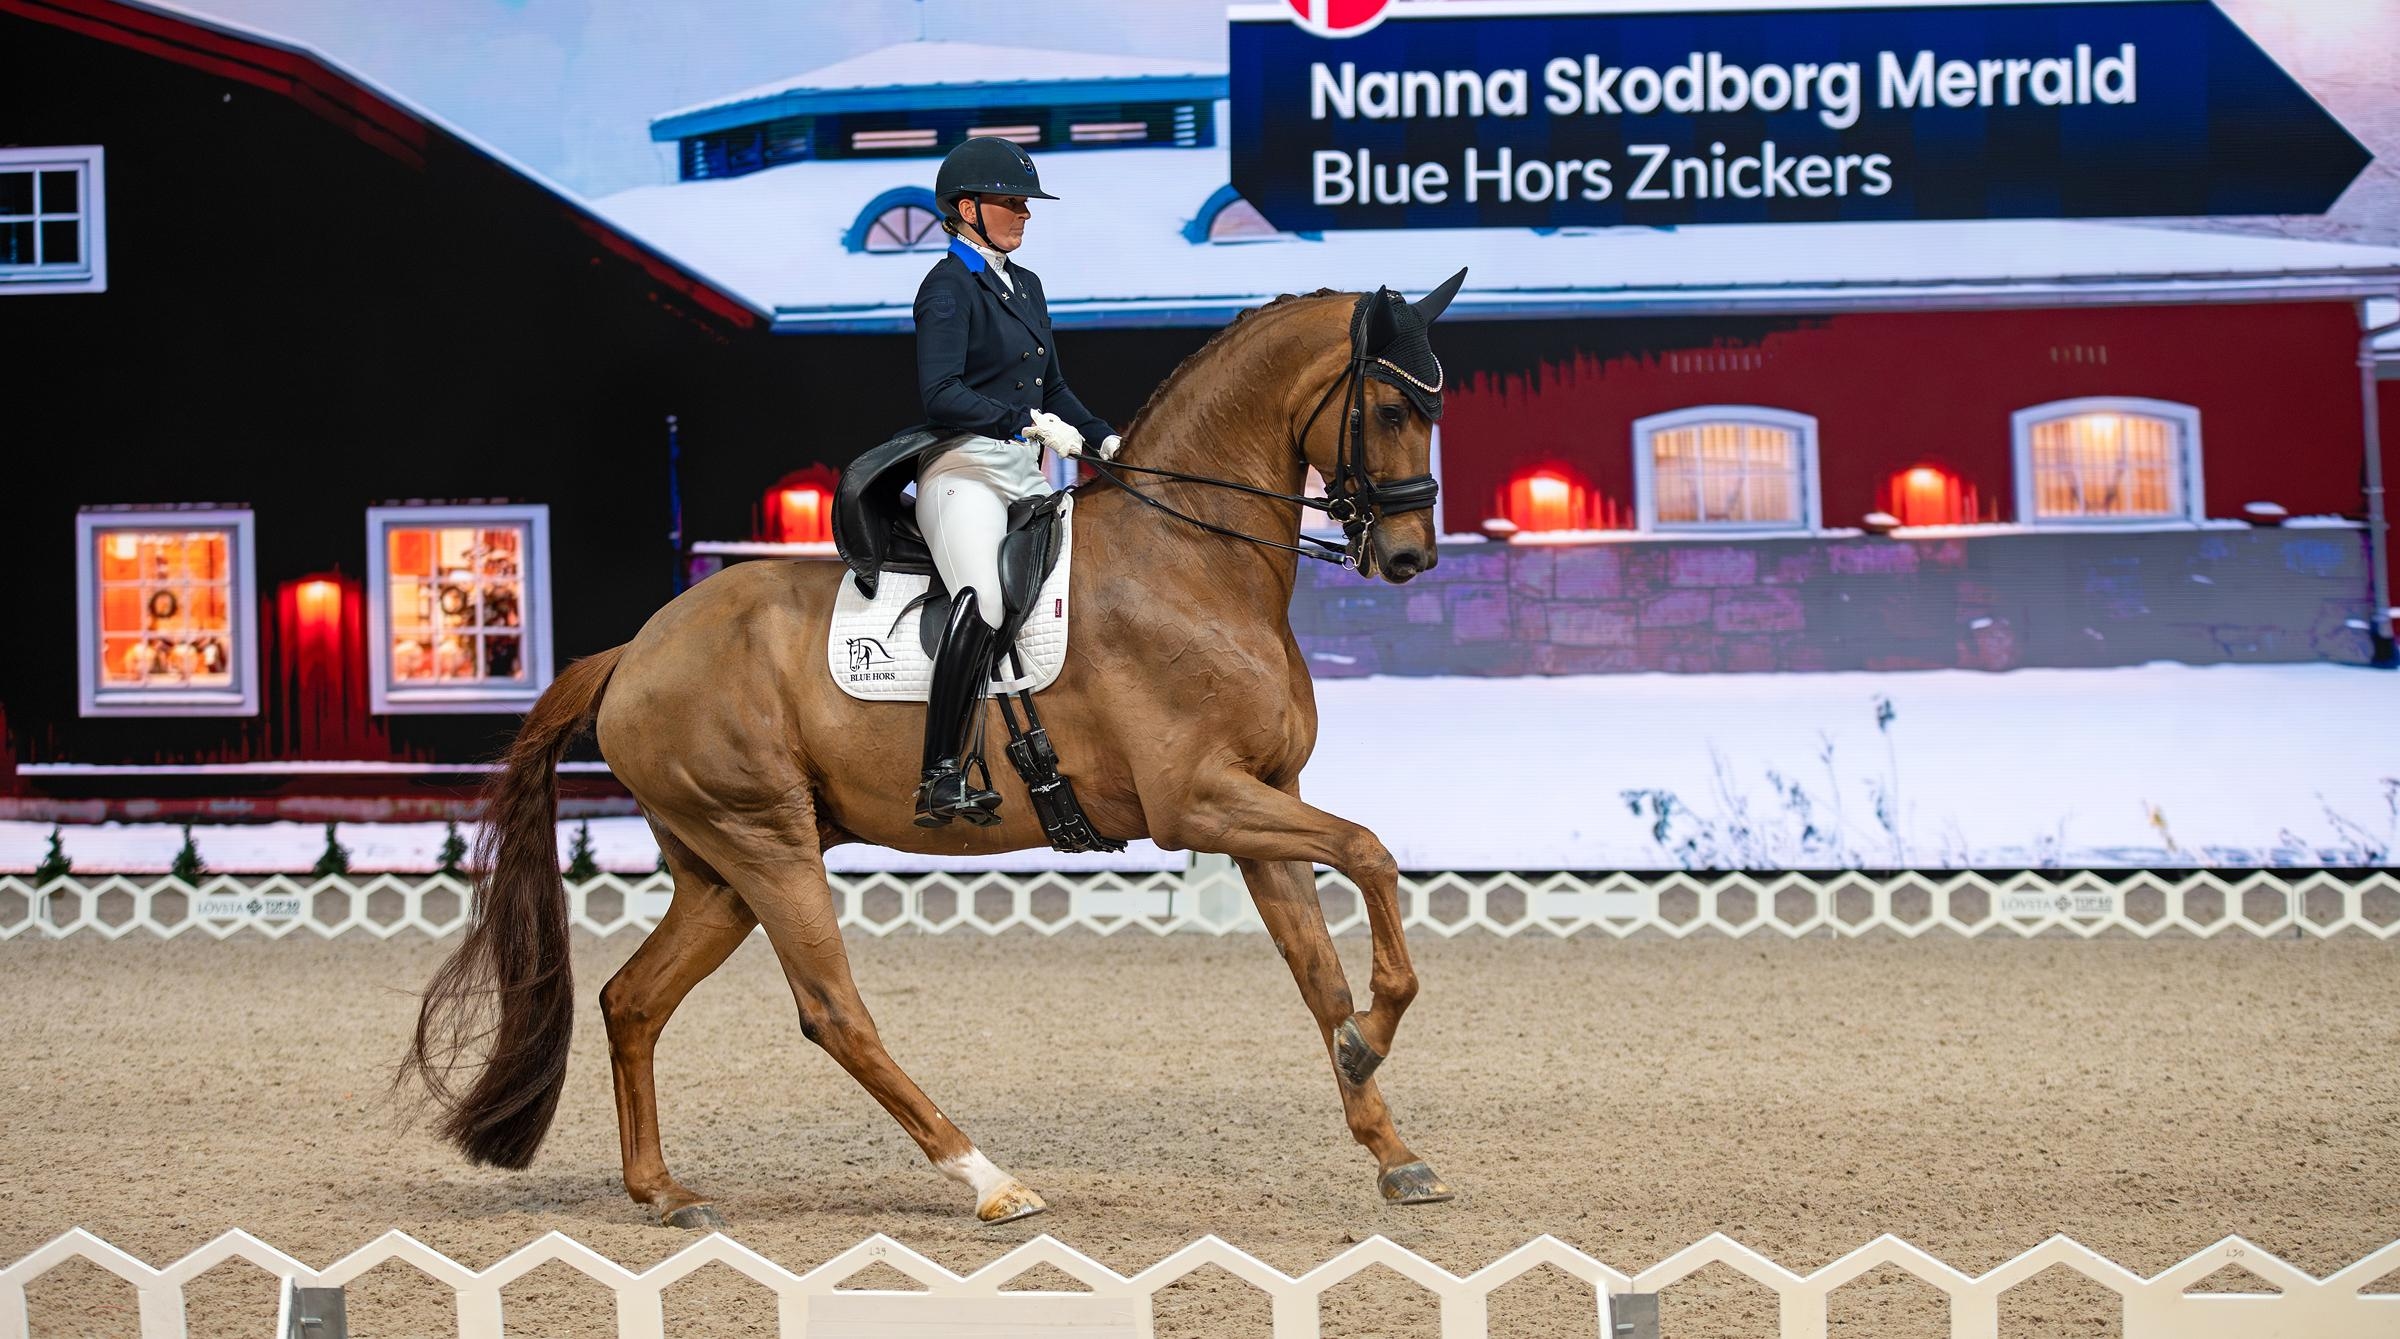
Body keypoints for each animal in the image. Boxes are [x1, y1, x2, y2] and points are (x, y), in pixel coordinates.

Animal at [410, 280, 1449, 1228]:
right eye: (1394, 408)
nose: (1409, 559)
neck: (1189, 557)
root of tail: (634, 648)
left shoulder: (1263, 796)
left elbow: (1318, 970)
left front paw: (1391, 1141)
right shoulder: (1199, 800)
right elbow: (1370, 852)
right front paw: (1374, 1033)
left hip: (718, 871)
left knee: (632, 999)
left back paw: (663, 1192)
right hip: (765, 841)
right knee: (832, 1008)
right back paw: (990, 1180)